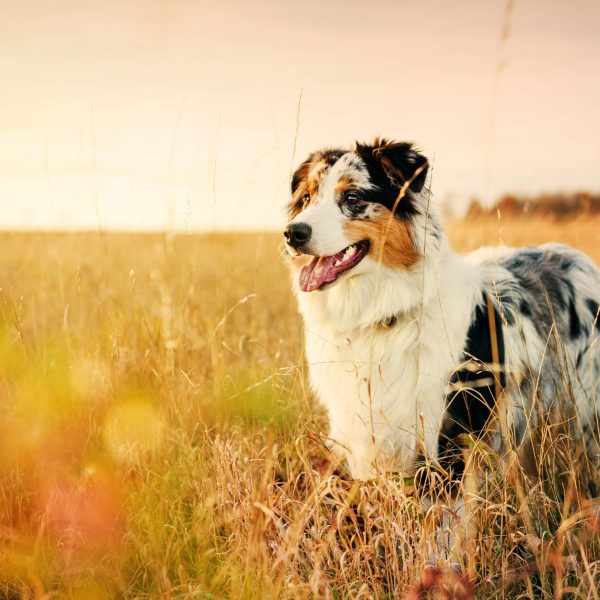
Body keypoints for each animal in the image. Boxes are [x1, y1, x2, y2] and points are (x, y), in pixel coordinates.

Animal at [284, 138, 600, 486]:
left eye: (352, 197)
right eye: (307, 198)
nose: (292, 233)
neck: (382, 314)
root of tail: (580, 257)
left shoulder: (450, 432)